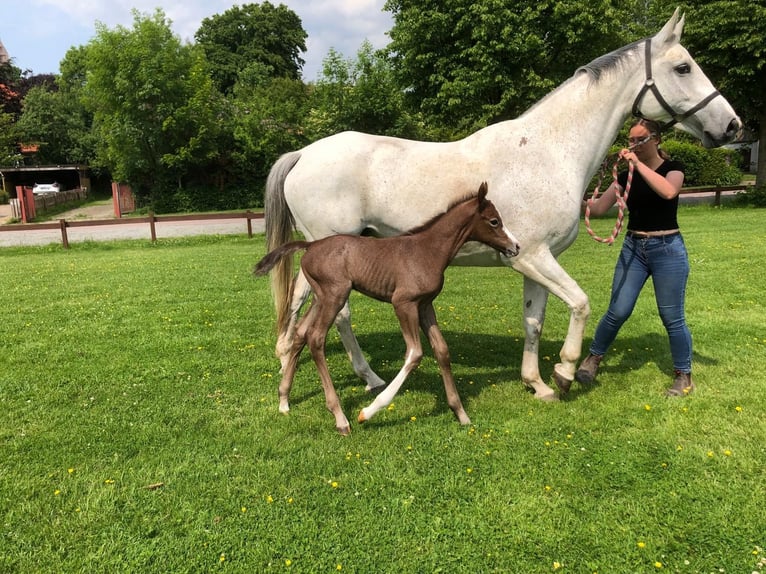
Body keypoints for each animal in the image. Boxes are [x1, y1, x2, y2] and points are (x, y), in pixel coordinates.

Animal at [255, 182, 520, 434]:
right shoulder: (403, 303)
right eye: (494, 221)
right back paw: (340, 417)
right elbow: (415, 353)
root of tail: (311, 246)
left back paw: (284, 399)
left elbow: (442, 350)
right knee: (316, 338)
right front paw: (368, 411)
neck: (428, 250)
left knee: (301, 333)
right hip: (334, 296)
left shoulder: (425, 305)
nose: (516, 246)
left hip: (321, 297)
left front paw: (461, 413)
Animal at [262, 9, 741, 402]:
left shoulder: (536, 262)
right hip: (330, 252)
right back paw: (358, 379)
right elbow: (581, 303)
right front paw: (565, 372)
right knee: (328, 314)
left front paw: (537, 383)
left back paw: (311, 365)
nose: (733, 126)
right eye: (683, 67)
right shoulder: (532, 257)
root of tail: (303, 154)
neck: (550, 150)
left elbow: (535, 321)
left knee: (308, 306)